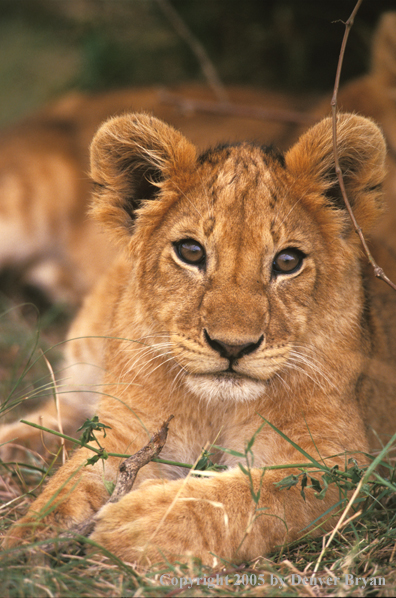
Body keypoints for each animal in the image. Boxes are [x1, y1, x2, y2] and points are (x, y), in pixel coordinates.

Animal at [3, 111, 396, 568]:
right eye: (191, 252)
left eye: (287, 261)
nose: (232, 347)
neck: (216, 407)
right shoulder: (129, 432)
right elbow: (69, 484)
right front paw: (25, 545)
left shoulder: (341, 466)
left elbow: (251, 496)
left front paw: (136, 526)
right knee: (62, 409)